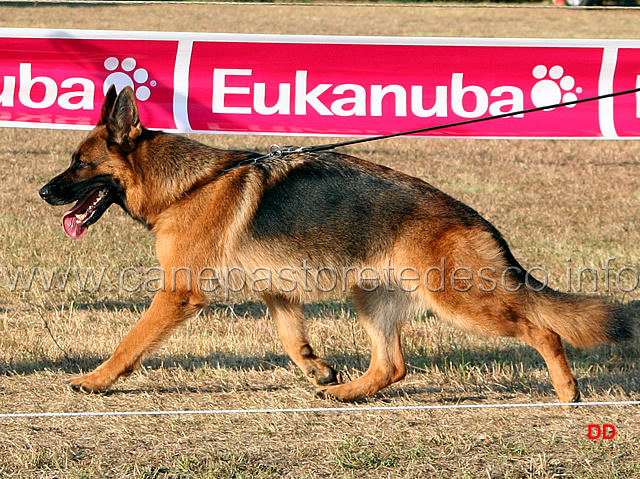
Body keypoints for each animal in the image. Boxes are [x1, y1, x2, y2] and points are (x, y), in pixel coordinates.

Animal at [41, 87, 636, 404]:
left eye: (80, 164)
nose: (44, 192)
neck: (184, 185)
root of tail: (476, 220)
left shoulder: (177, 295)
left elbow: (129, 343)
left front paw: (95, 380)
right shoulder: (277, 291)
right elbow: (291, 339)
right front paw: (318, 369)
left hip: (461, 303)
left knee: (542, 330)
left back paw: (567, 390)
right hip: (371, 298)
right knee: (392, 366)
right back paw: (343, 392)